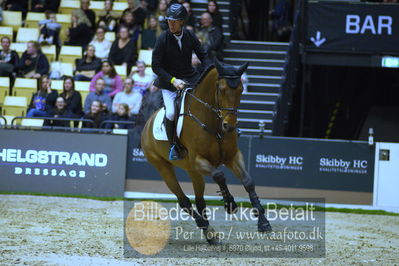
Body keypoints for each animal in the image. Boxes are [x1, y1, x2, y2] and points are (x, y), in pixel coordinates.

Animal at [141, 59, 272, 243]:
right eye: (221, 89)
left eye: (241, 89)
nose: (229, 126)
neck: (214, 123)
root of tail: (147, 123)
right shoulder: (199, 160)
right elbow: (219, 175)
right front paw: (229, 204)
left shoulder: (233, 157)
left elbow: (248, 182)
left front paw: (263, 222)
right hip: (164, 168)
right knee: (184, 201)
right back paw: (206, 227)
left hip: (192, 171)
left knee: (199, 200)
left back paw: (209, 233)